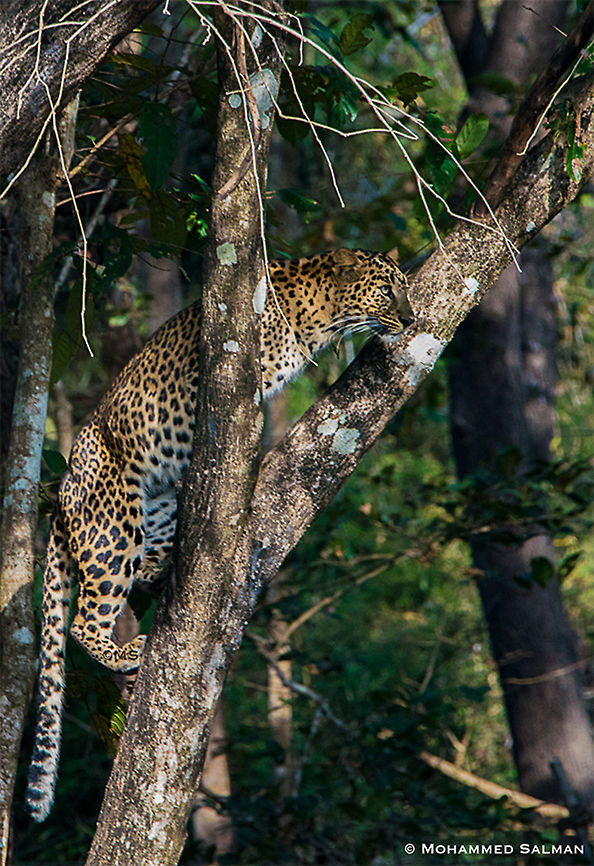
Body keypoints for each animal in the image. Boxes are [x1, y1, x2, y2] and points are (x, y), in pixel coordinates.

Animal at [26, 247, 412, 821]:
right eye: (387, 290)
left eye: (405, 288)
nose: (411, 319)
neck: (317, 314)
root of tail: (62, 499)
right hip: (113, 526)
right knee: (83, 621)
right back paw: (128, 650)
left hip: (160, 512)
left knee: (145, 567)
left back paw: (162, 573)